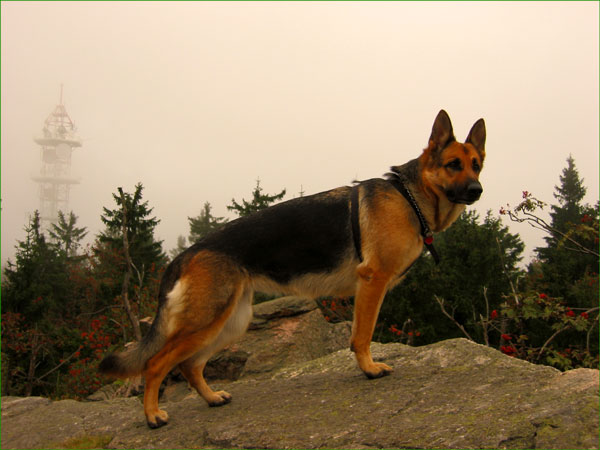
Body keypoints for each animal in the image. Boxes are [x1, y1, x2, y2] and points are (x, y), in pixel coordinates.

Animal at [99, 110, 486, 428]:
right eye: (453, 164)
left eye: (477, 164)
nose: (477, 190)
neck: (410, 197)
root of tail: (186, 253)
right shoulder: (372, 283)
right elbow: (362, 336)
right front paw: (369, 370)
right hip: (207, 321)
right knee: (156, 364)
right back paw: (152, 416)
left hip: (229, 322)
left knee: (189, 365)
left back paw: (211, 398)